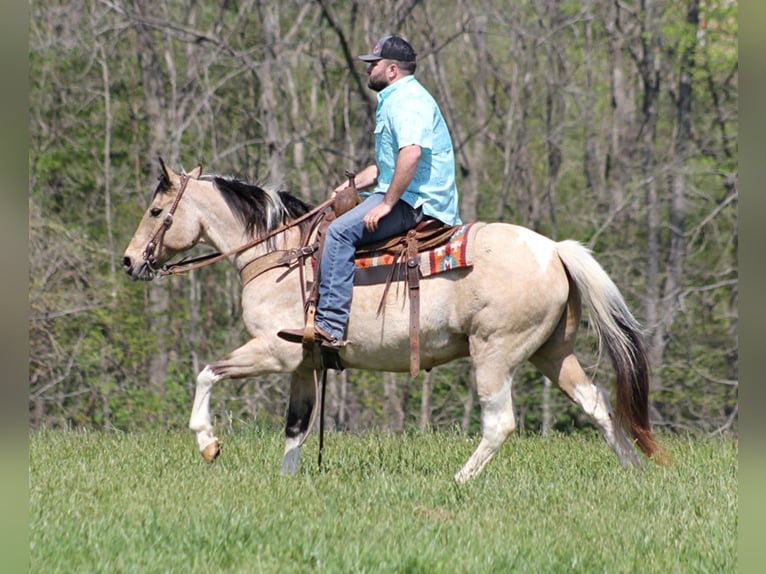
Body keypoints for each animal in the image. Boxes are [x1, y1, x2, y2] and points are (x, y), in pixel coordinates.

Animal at [121, 158, 664, 482]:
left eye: (156, 210)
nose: (128, 261)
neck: (281, 257)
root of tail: (552, 249)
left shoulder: (274, 351)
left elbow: (207, 373)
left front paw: (208, 443)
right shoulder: (304, 365)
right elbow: (296, 427)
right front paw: (287, 481)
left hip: (495, 352)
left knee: (500, 422)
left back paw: (459, 481)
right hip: (552, 351)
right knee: (597, 404)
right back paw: (634, 472)